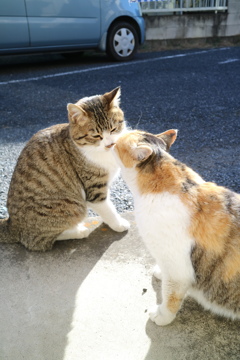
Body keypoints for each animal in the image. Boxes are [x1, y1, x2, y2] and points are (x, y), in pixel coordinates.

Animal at [0, 87, 129, 250]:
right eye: (96, 135)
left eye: (113, 129)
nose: (110, 144)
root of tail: (12, 225)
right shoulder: (94, 188)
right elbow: (106, 207)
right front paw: (118, 224)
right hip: (70, 206)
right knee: (39, 241)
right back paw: (79, 231)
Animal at [113, 129, 240, 326]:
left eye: (118, 141)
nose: (115, 134)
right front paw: (159, 271)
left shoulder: (177, 270)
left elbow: (170, 295)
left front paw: (162, 316)